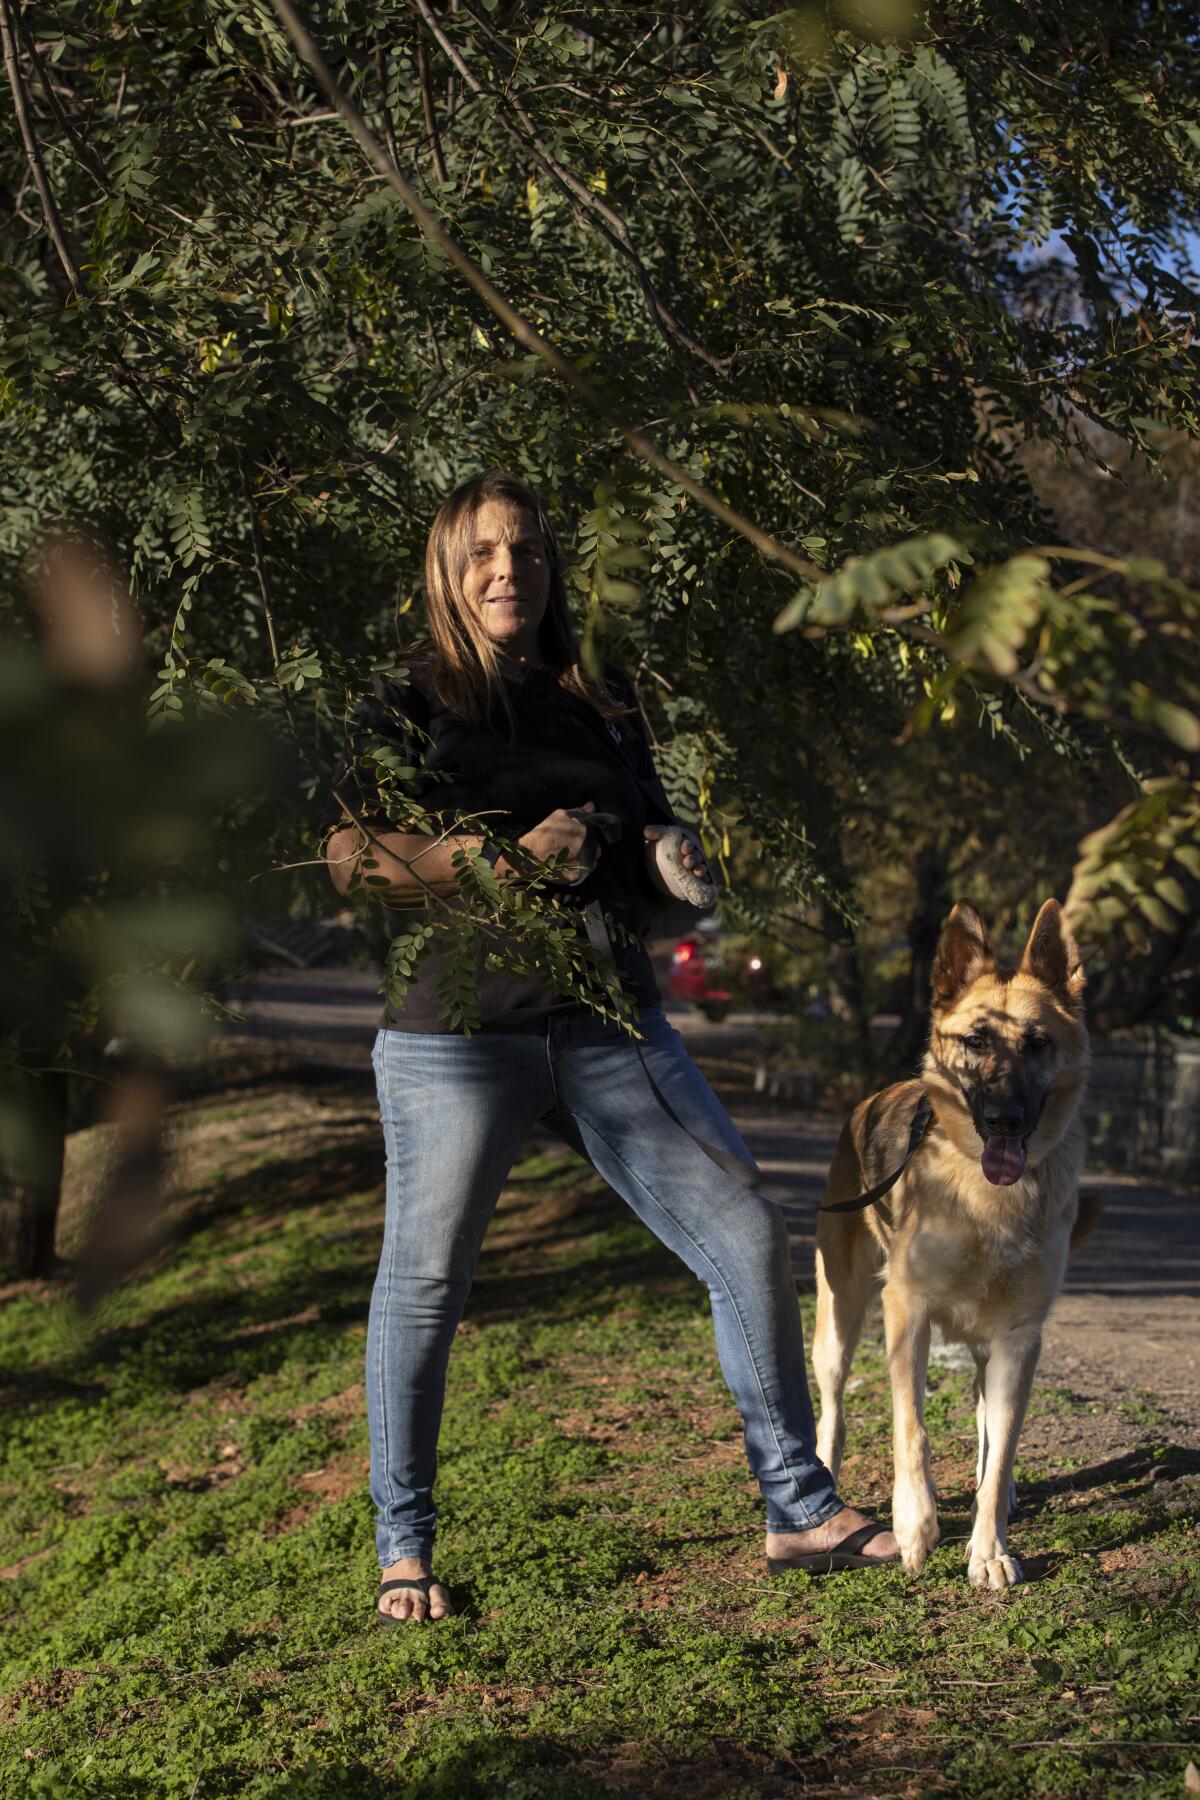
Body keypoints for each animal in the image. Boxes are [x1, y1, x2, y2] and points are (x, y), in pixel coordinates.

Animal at [816, 900, 1101, 1591]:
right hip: (839, 1319)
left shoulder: (1020, 1338)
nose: (1003, 1119)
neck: (985, 1199)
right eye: (975, 1042)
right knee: (832, 1406)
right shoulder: (906, 1313)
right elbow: (911, 1428)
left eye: (1038, 1044)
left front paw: (989, 1545)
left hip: (985, 1345)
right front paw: (915, 1526)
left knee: (986, 1423)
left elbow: (1001, 1449)